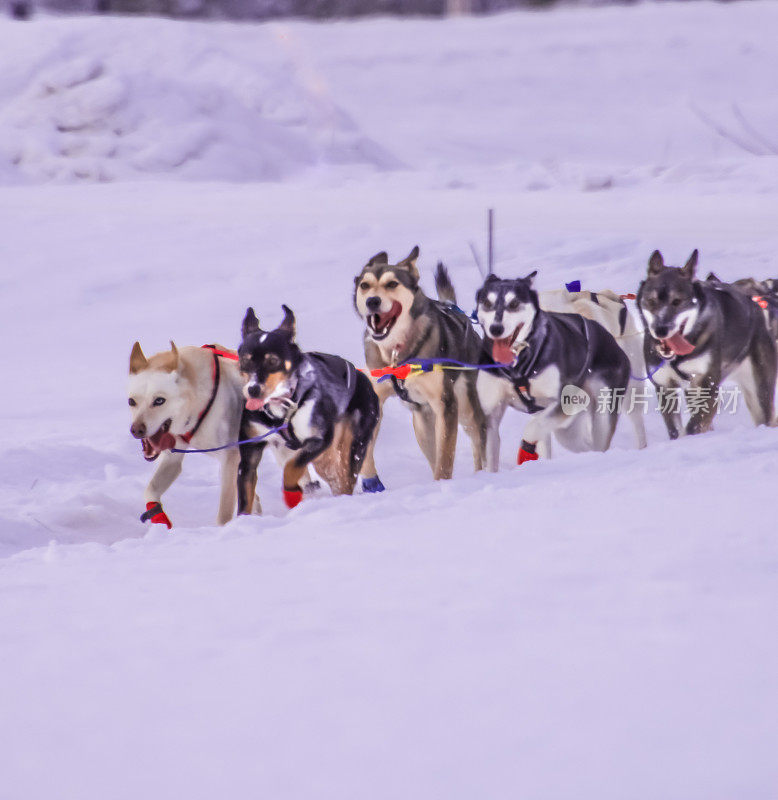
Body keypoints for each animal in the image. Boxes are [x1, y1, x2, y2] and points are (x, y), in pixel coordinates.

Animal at [126, 340, 244, 528]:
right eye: (132, 401)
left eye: (159, 400)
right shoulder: (172, 457)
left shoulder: (230, 458)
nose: (136, 430)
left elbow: (224, 515)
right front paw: (158, 517)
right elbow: (150, 490)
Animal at [235, 306, 378, 512]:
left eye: (272, 361)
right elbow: (245, 496)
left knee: (345, 478)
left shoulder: (319, 439)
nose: (253, 389)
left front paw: (291, 494)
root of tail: (364, 379)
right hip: (325, 457)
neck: (281, 411)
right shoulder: (250, 452)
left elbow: (292, 467)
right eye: (246, 361)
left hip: (353, 445)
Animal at [352, 245, 484, 482]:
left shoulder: (446, 404)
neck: (396, 353)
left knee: (479, 440)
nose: (372, 301)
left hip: (465, 407)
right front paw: (369, 478)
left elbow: (445, 460)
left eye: (392, 284)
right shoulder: (377, 395)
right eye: (364, 285)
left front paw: (443, 484)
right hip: (423, 421)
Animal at [636, 250, 776, 438]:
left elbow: (694, 425)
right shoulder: (665, 387)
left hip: (759, 389)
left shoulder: (707, 386)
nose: (660, 329)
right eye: (652, 301)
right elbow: (676, 429)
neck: (678, 358)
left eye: (677, 301)